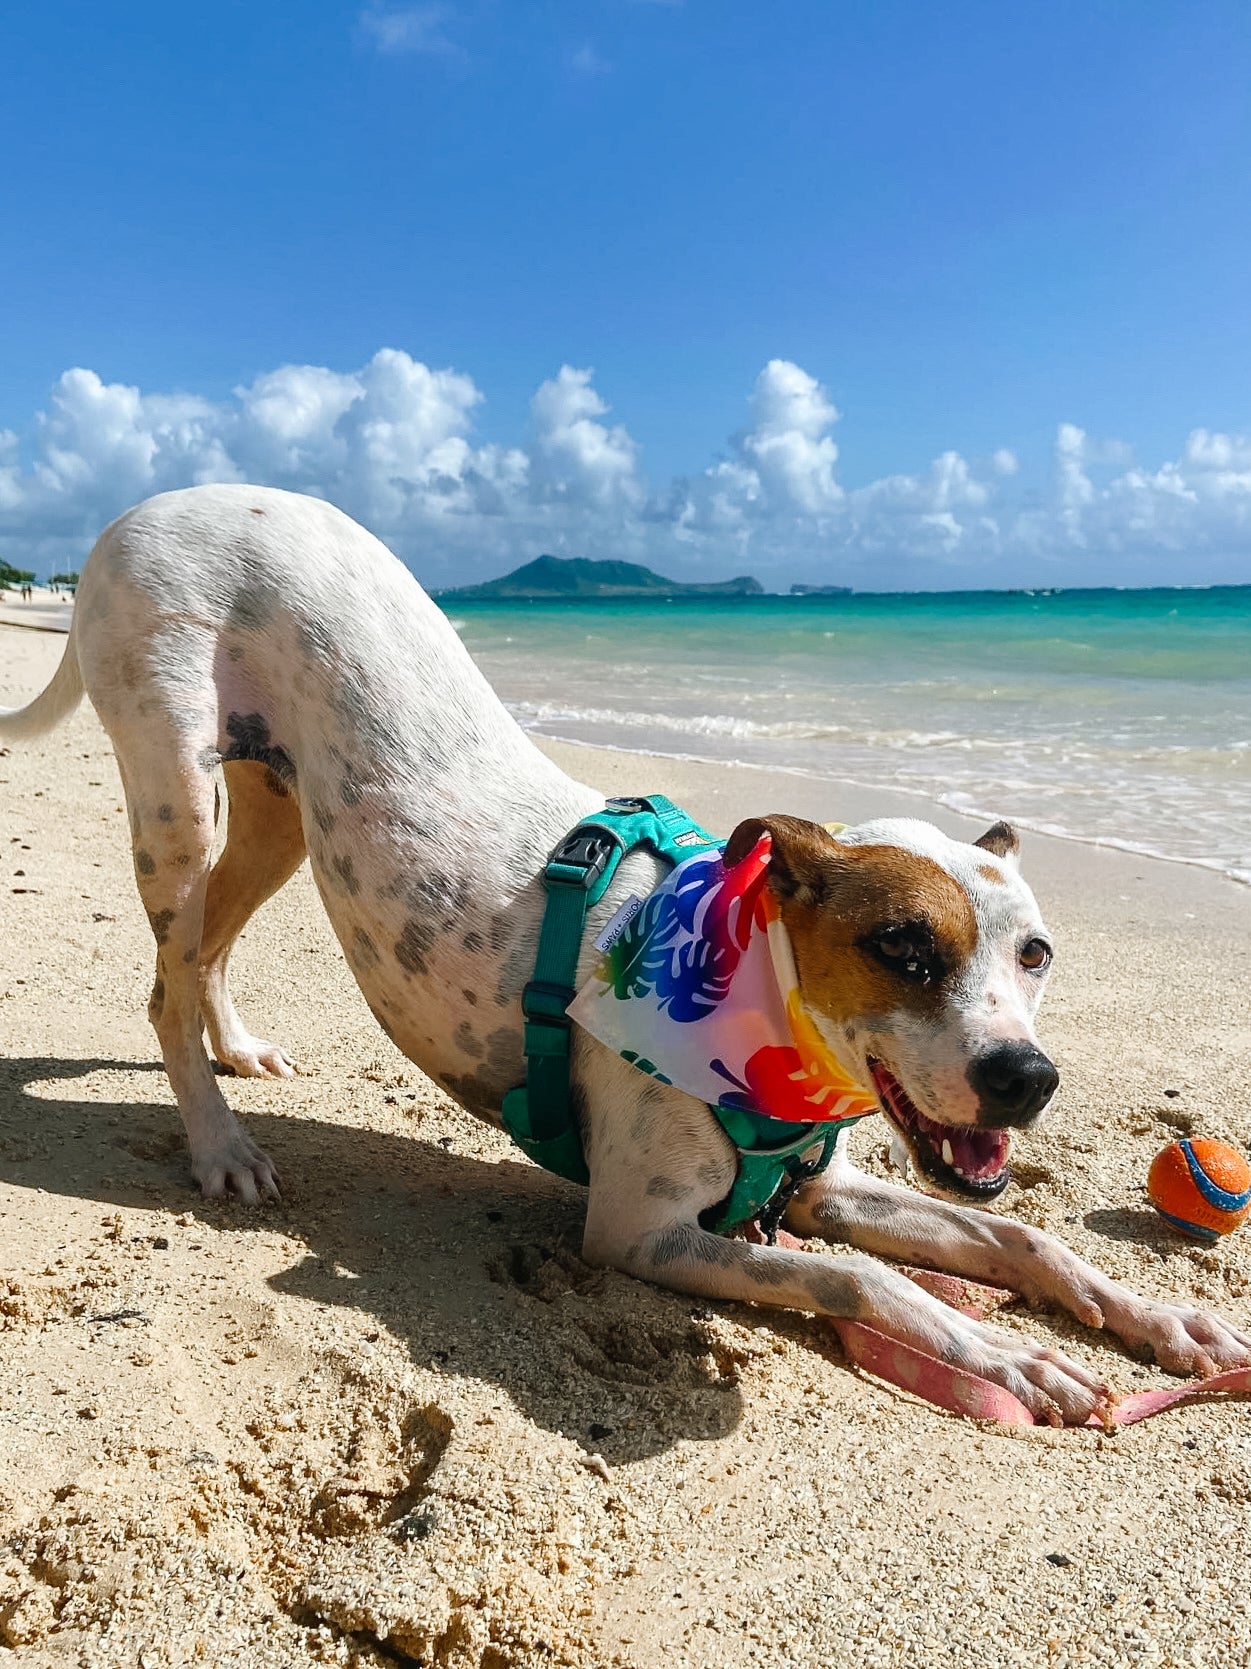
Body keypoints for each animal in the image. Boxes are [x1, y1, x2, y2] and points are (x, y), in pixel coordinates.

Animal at [4, 480, 1247, 1421]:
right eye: (901, 945)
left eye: (1037, 953)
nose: (1026, 1078)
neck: (760, 1007)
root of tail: (159, 500)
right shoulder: (639, 1231)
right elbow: (869, 1280)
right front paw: (1009, 1357)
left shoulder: (824, 1188)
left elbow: (1018, 1233)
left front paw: (1160, 1317)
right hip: (178, 792)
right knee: (165, 978)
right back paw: (220, 1141)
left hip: (277, 811)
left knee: (203, 952)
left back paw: (239, 1053)